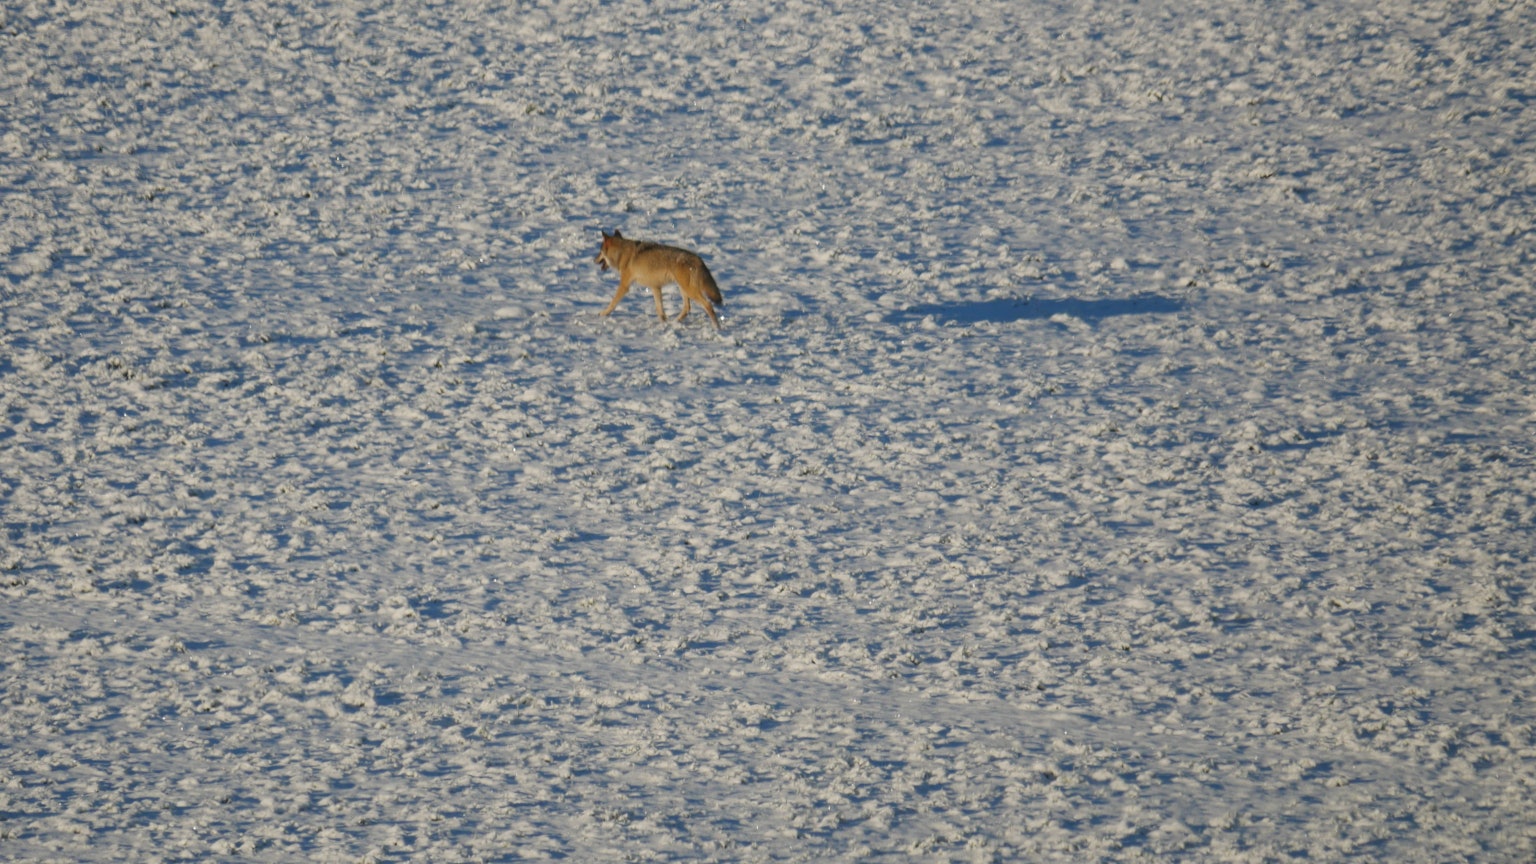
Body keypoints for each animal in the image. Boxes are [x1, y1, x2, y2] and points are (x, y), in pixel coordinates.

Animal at [593, 230, 724, 330]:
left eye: (599, 252)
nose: (593, 260)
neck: (622, 253)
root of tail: (699, 259)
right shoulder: (655, 287)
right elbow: (660, 310)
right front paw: (664, 324)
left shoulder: (624, 285)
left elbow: (613, 302)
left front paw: (603, 313)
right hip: (683, 289)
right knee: (687, 308)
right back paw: (675, 322)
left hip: (689, 290)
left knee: (708, 305)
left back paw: (717, 328)